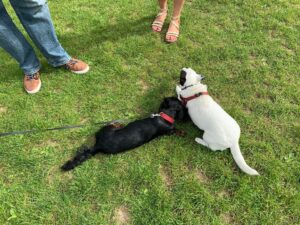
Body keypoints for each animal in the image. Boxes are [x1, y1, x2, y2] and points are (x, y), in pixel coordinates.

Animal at [60, 96, 188, 171]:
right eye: (179, 100)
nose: (181, 98)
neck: (163, 116)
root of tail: (98, 145)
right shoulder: (169, 130)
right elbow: (176, 130)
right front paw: (183, 132)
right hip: (108, 127)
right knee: (113, 124)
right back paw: (119, 123)